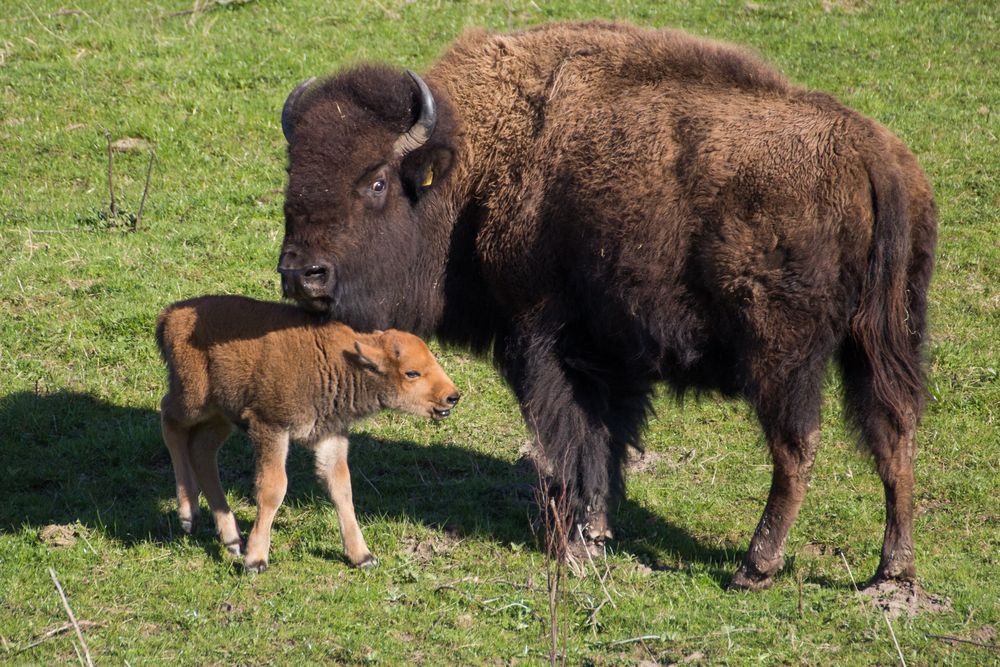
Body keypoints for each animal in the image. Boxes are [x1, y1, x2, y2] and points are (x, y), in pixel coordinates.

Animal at [154, 294, 458, 572]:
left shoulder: (331, 435)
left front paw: (363, 556)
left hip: (222, 416)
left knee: (202, 450)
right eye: (411, 373)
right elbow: (273, 488)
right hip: (194, 400)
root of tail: (170, 315)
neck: (341, 362)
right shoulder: (271, 428)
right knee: (169, 418)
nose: (452, 397)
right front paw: (256, 560)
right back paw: (189, 516)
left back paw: (232, 539)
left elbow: (341, 488)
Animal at [276, 20, 936, 588]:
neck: (479, 162)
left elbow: (579, 437)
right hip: (883, 338)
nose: (300, 274)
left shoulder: (549, 345)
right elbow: (607, 438)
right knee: (894, 432)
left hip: (784, 357)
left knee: (798, 446)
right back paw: (893, 569)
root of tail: (870, 155)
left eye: (377, 181)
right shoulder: (609, 354)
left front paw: (577, 542)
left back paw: (756, 566)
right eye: (292, 176)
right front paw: (594, 533)